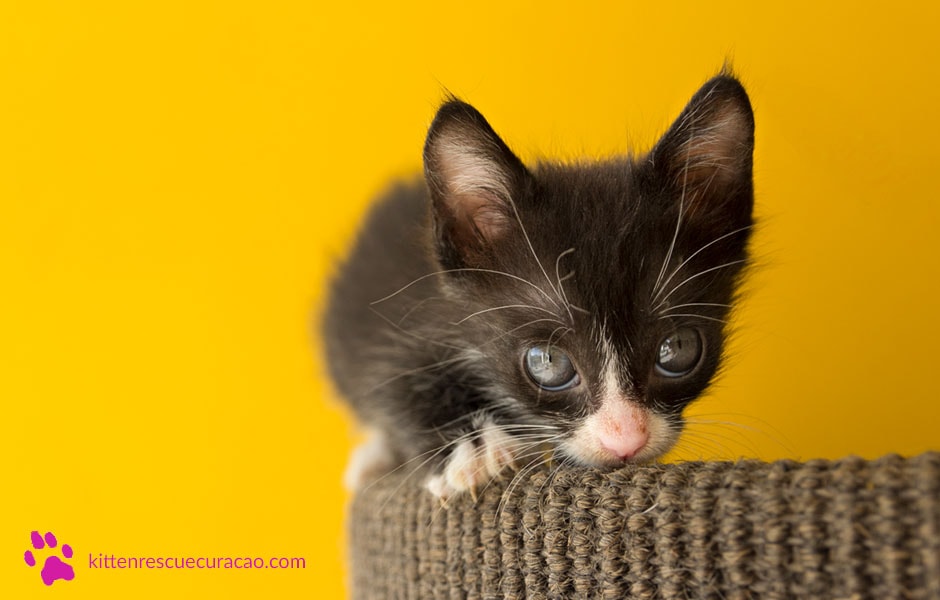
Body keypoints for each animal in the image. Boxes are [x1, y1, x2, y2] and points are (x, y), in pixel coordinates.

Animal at [324, 72, 756, 500]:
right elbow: (392, 380)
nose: (626, 441)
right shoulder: (396, 318)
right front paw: (475, 450)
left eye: (677, 348)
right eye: (546, 362)